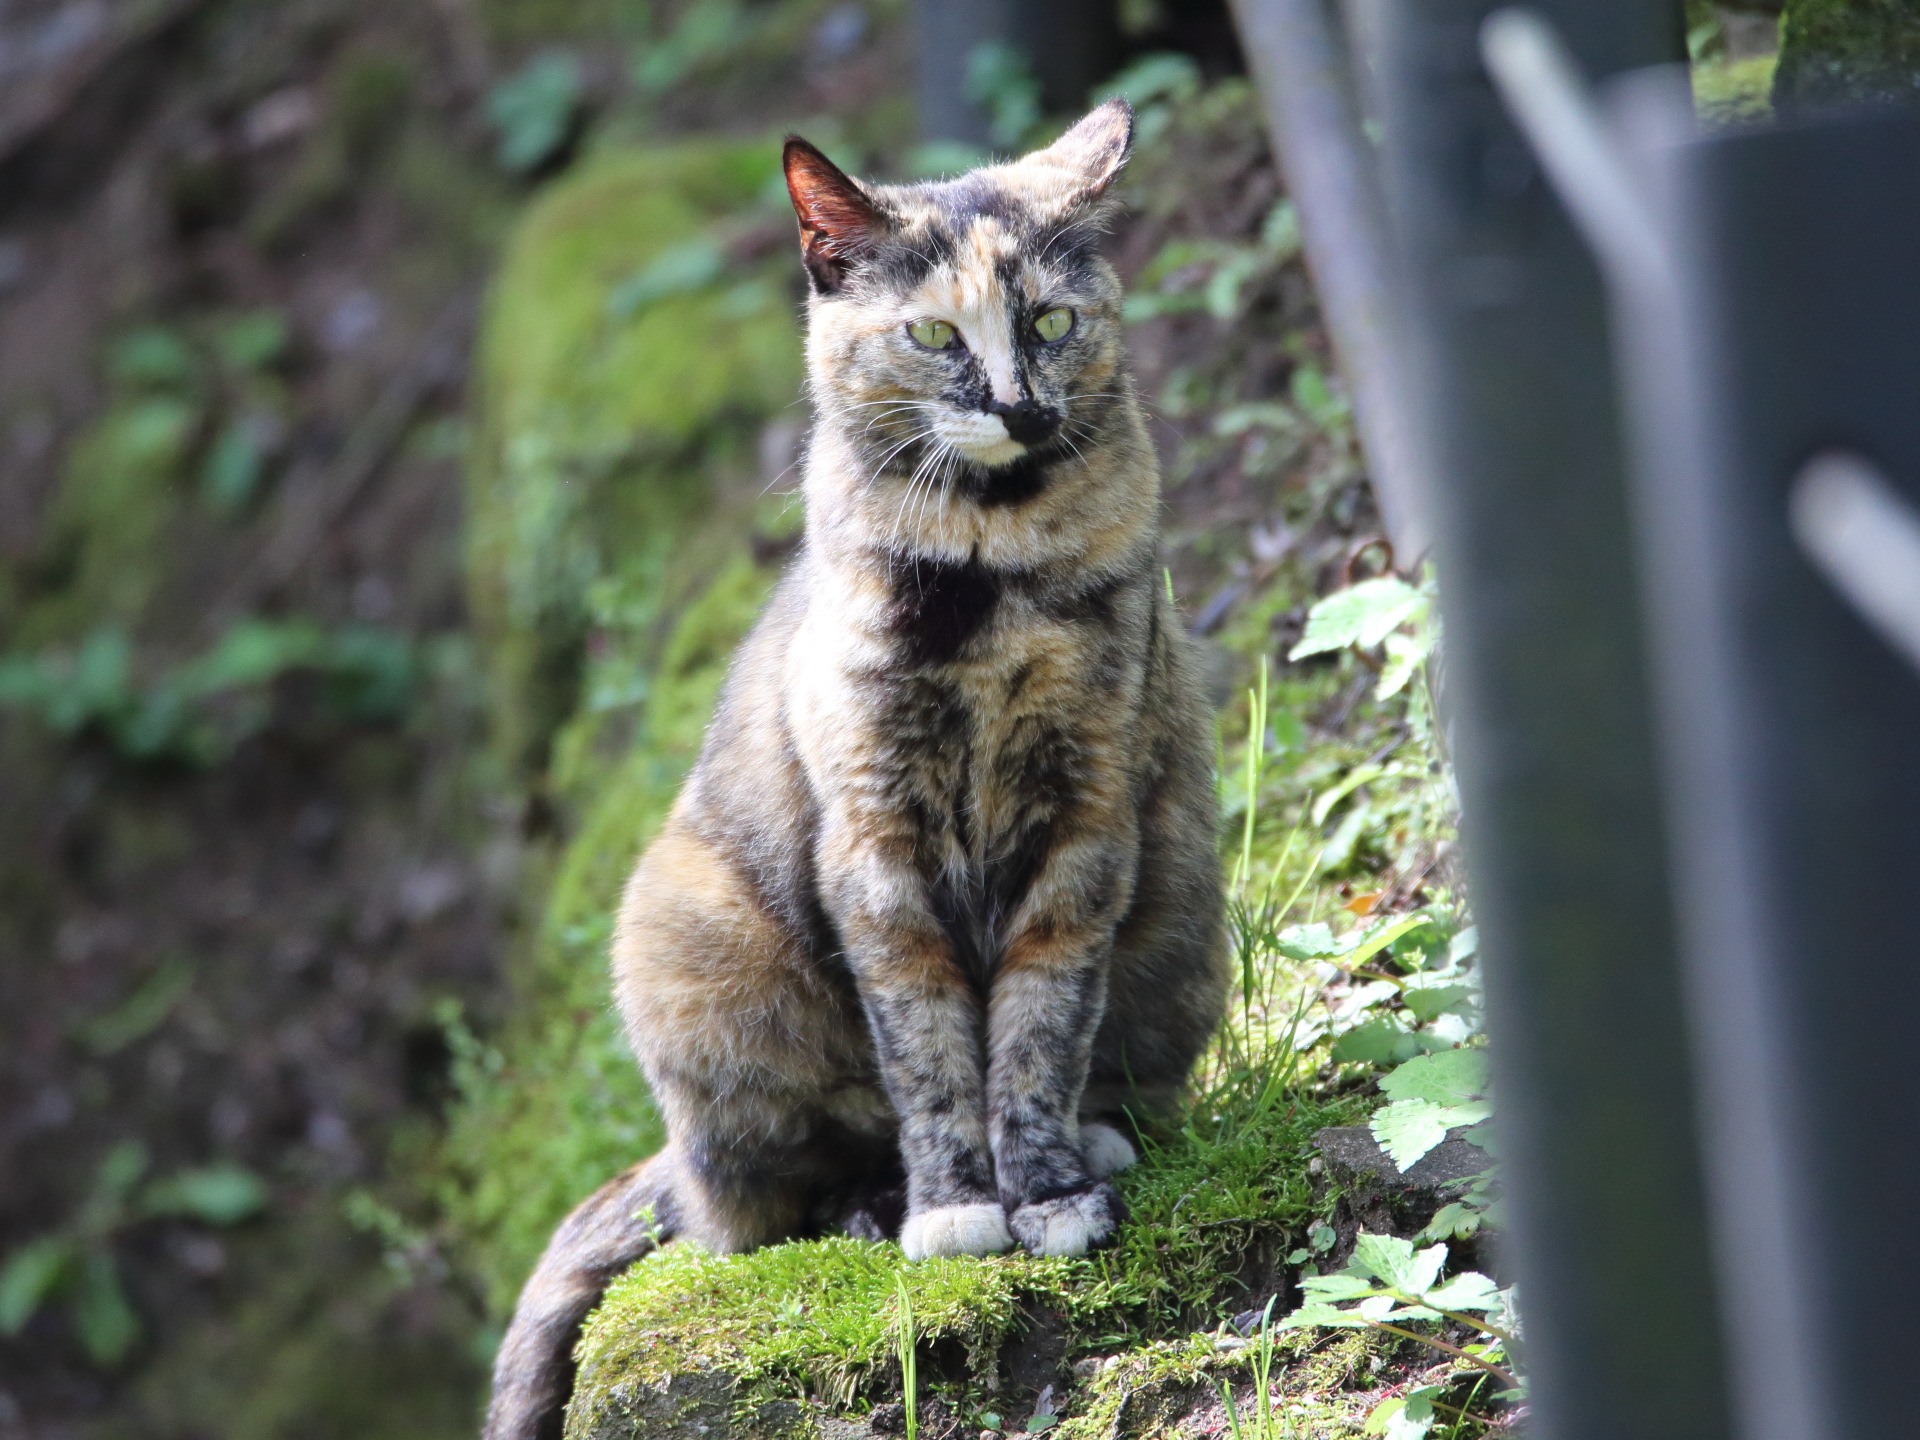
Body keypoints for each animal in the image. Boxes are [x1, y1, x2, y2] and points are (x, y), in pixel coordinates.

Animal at [487, 101, 1221, 1440]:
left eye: (1051, 322)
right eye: (934, 333)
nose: (1021, 409)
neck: (992, 570)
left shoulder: (1085, 816)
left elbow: (1039, 1028)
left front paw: (1047, 1192)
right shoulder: (879, 841)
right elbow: (928, 1045)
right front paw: (957, 1208)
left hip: (1187, 913)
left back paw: (1102, 1144)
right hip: (697, 949)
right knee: (756, 1212)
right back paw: (873, 1205)